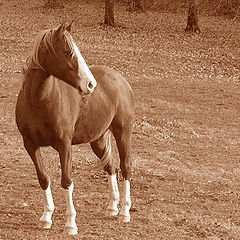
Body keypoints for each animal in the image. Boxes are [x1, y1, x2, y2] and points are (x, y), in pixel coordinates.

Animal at [15, 21, 135, 235]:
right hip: (98, 140)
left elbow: (66, 181)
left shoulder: (64, 146)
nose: (90, 84)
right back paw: (112, 207)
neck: (38, 102)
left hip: (123, 134)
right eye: (69, 52)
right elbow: (43, 178)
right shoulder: (30, 145)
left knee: (125, 168)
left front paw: (70, 223)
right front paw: (46, 217)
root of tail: (121, 80)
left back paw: (124, 212)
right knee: (111, 167)